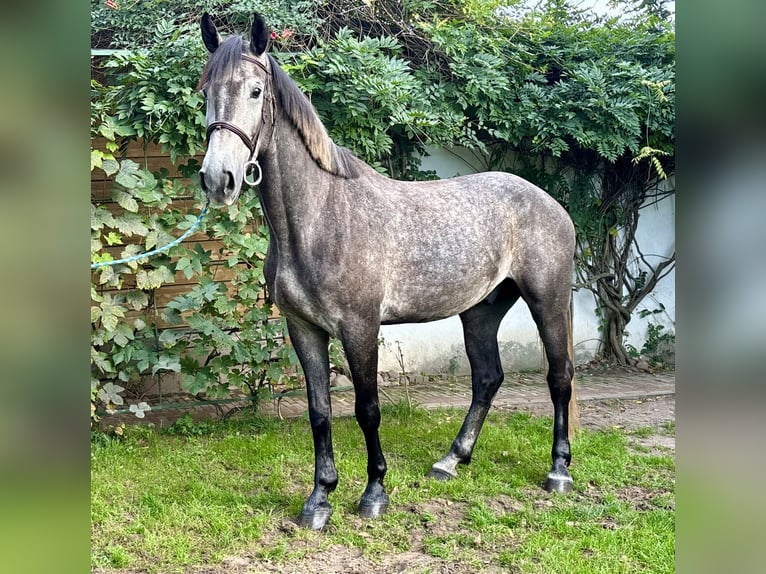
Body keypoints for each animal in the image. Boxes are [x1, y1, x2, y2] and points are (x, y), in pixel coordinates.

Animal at [197, 12, 576, 530]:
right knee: (487, 378)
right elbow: (319, 412)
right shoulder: (304, 329)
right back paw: (451, 461)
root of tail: (552, 204)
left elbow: (367, 409)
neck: (321, 217)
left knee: (559, 377)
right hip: (480, 311)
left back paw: (558, 470)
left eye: (256, 91)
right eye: (206, 91)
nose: (219, 179)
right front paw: (319, 499)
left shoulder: (359, 327)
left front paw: (374, 492)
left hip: (548, 301)